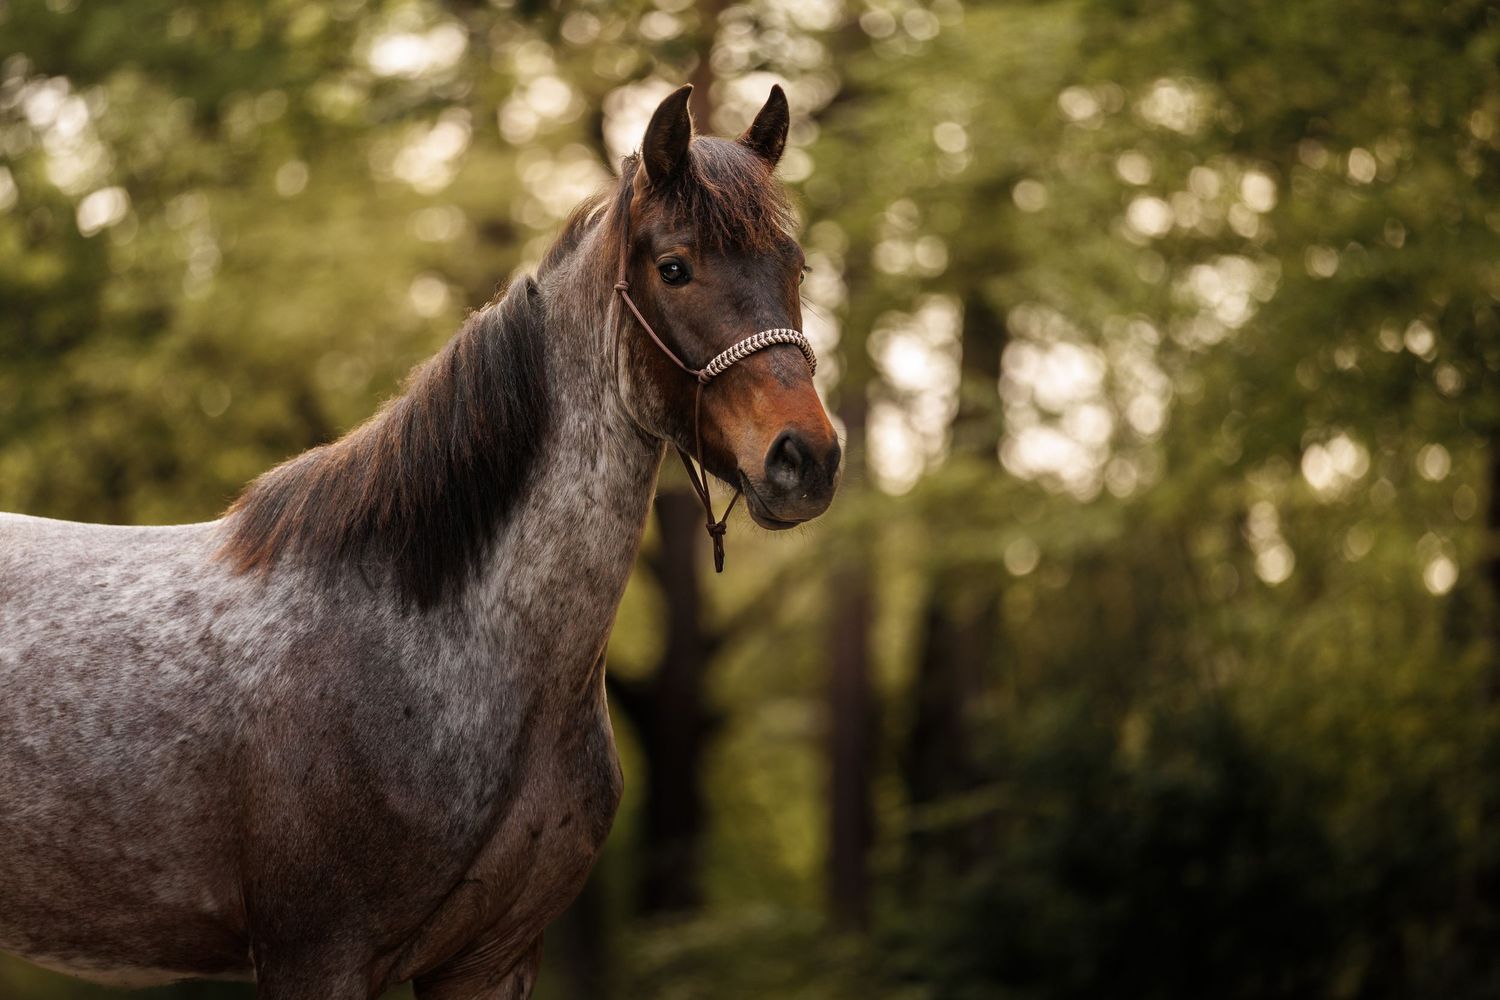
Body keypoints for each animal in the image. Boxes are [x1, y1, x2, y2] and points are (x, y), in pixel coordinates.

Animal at [0, 84, 840, 999]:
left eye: (795, 266)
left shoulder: (492, 961)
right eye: (675, 266)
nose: (806, 458)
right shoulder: (318, 956)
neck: (436, 627)